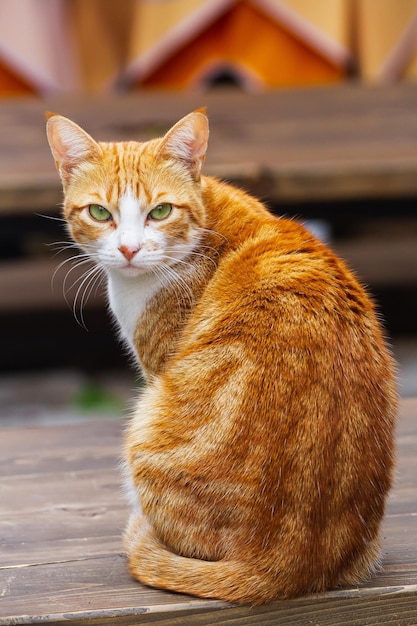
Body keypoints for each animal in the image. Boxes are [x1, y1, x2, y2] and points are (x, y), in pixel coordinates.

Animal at [46, 109, 396, 604]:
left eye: (160, 211)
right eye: (100, 212)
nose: (130, 249)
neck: (205, 219)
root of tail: (284, 566)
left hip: (146, 424)